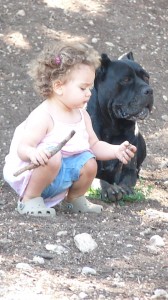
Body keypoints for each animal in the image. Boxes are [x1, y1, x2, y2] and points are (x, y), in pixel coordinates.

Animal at [86, 52, 154, 202]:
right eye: (126, 79)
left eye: (146, 77)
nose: (149, 90)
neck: (113, 127)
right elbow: (97, 180)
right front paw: (108, 188)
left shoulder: (128, 168)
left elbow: (127, 179)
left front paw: (125, 188)